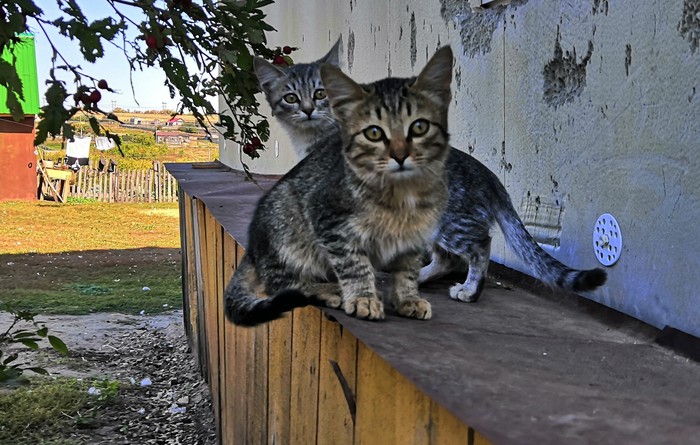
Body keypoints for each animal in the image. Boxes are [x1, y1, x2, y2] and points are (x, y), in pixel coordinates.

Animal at [224, 46, 454, 326]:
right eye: (374, 133)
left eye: (419, 127)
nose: (400, 155)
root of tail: (254, 248)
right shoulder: (327, 217)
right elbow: (353, 263)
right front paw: (363, 298)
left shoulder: (416, 235)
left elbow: (407, 268)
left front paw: (407, 298)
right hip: (286, 221)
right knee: (280, 283)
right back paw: (327, 290)